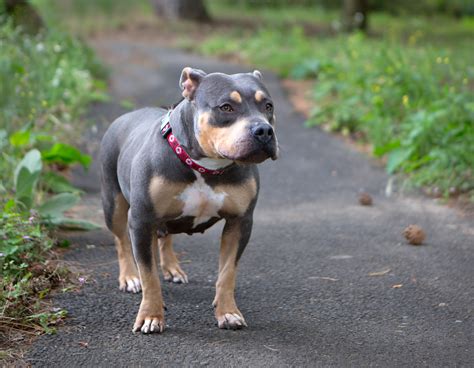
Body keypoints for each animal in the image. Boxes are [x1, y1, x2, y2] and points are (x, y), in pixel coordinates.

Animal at [99, 66, 278, 334]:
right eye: (226, 107)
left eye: (268, 106)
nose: (264, 130)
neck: (205, 166)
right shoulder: (141, 219)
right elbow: (149, 275)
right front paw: (151, 315)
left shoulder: (240, 222)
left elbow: (227, 273)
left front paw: (227, 312)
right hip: (114, 204)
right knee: (122, 241)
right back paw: (130, 277)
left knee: (165, 236)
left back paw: (172, 268)